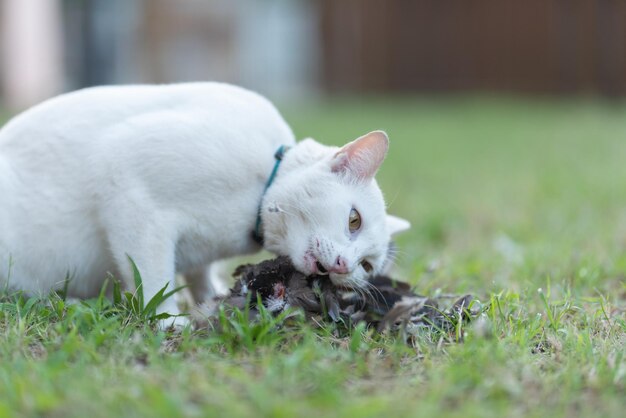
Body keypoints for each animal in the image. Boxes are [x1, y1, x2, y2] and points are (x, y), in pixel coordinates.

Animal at [0, 82, 408, 326]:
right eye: (354, 220)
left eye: (366, 266)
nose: (342, 265)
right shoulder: (125, 178)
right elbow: (153, 277)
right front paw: (166, 319)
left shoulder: (198, 252)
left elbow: (197, 274)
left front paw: (211, 299)